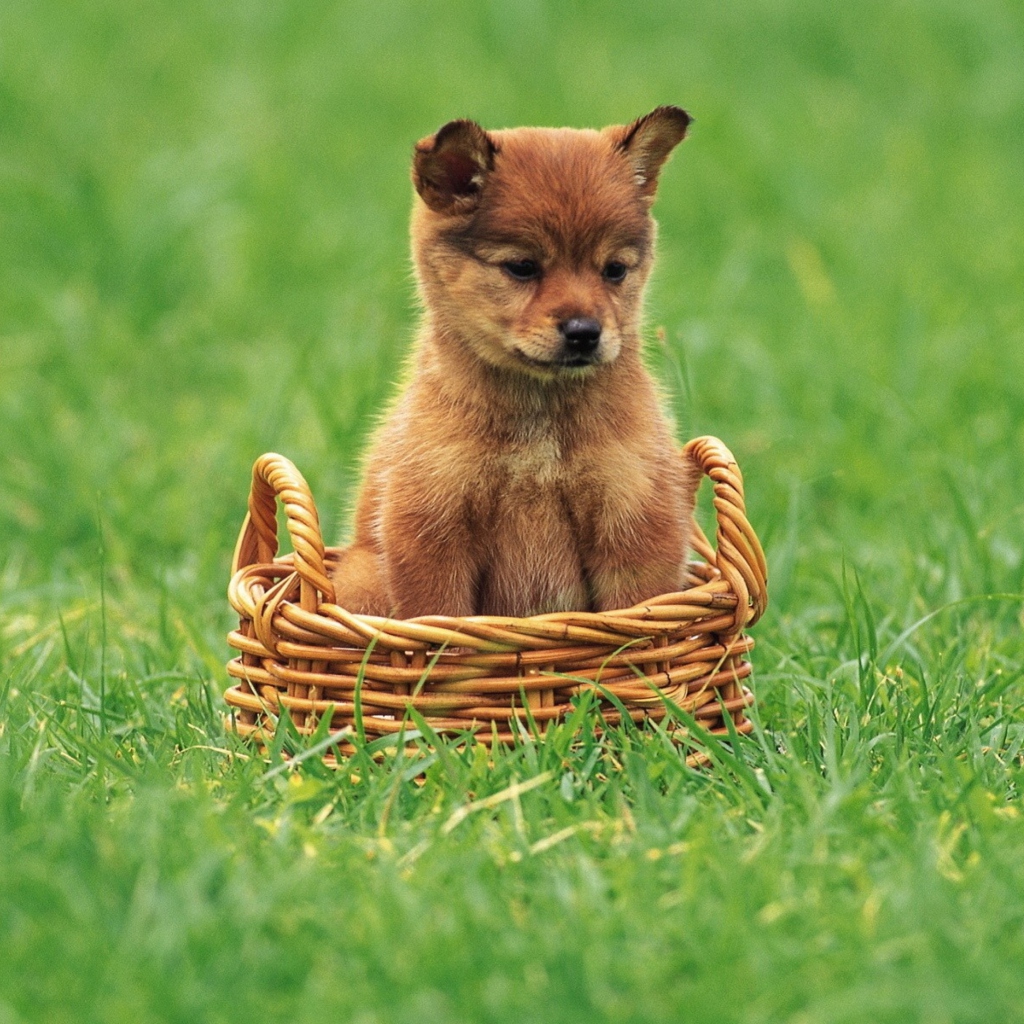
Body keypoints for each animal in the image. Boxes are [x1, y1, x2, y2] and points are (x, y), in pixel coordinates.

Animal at [331, 105, 700, 614]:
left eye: (615, 270)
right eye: (522, 267)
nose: (585, 332)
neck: (537, 422)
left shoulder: (635, 520)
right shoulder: (430, 526)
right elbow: (440, 621)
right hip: (362, 580)